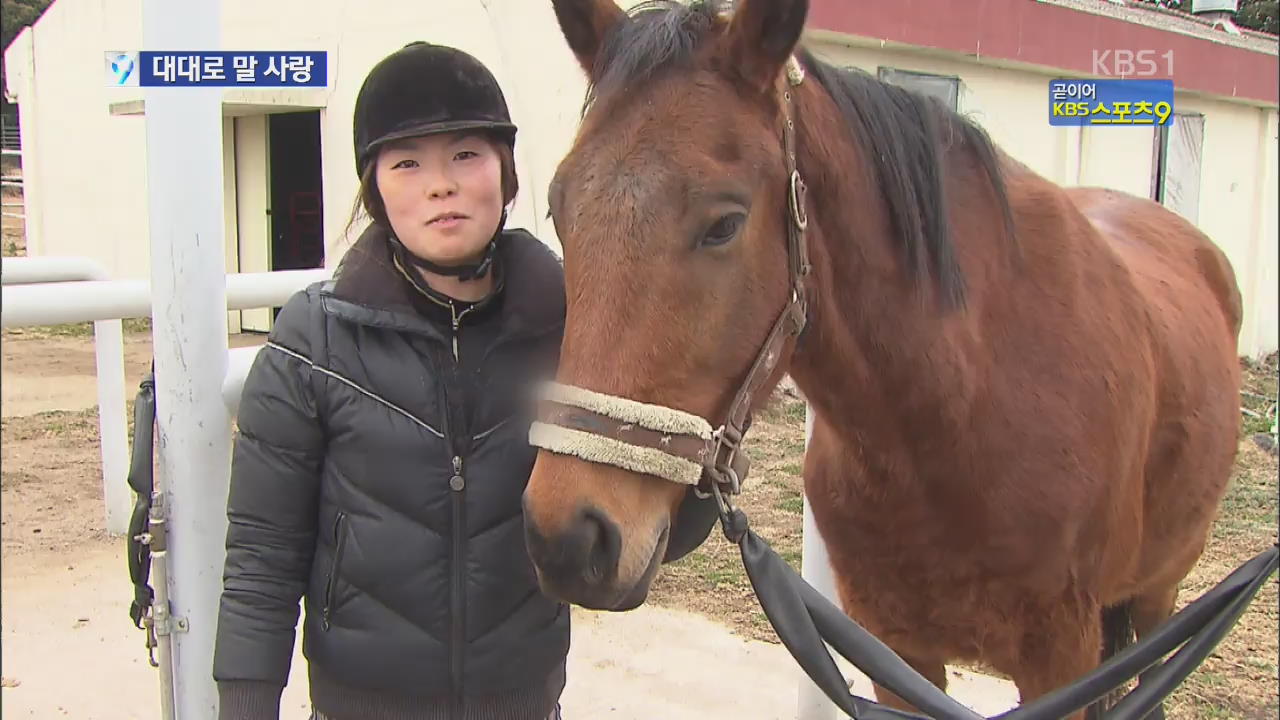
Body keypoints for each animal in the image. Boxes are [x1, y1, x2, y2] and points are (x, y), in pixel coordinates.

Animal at [517, 2, 1239, 712]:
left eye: (724, 224)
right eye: (558, 210)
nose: (569, 539)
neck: (954, 418)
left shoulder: (1061, 661)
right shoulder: (895, 654)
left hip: (1159, 591)